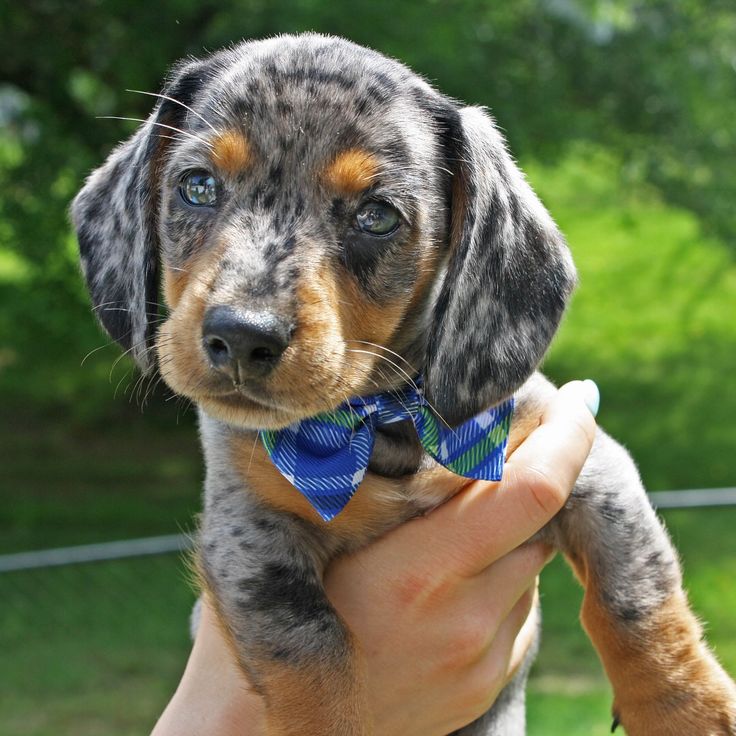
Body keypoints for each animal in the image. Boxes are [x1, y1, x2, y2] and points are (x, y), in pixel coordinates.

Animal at [70, 31, 736, 732]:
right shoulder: (249, 536)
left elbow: (634, 593)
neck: (380, 421)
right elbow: (311, 651)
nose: (243, 336)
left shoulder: (594, 466)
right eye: (197, 186)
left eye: (377, 216)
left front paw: (683, 706)